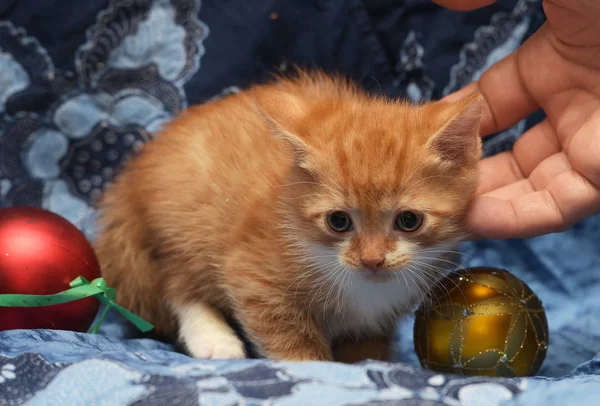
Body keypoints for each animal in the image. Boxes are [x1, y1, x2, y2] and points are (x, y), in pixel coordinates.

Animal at [94, 70, 482, 362]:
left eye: (409, 220)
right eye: (338, 221)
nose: (372, 260)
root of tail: (129, 183)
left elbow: (366, 344)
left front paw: (369, 363)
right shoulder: (252, 272)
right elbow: (285, 333)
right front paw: (314, 367)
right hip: (186, 223)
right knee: (176, 282)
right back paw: (214, 339)